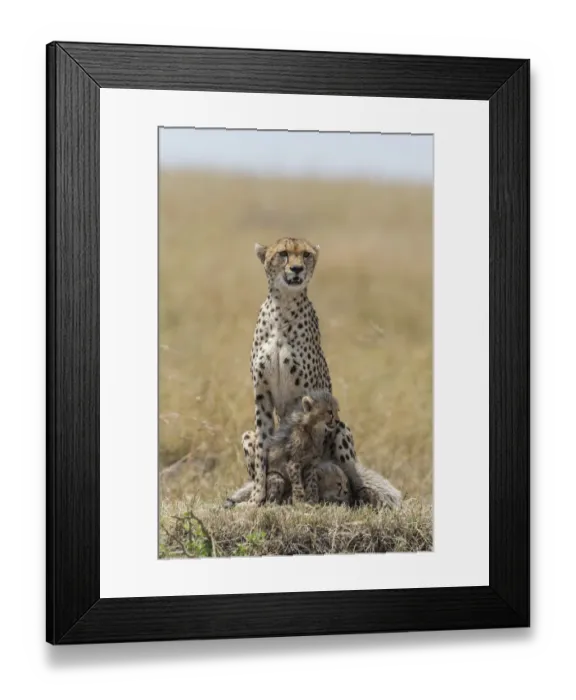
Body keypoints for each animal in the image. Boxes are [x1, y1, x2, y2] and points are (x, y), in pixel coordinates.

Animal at [241, 236, 401, 508]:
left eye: (306, 255)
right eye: (283, 254)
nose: (297, 269)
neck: (282, 308)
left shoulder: (307, 396)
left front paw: (305, 499)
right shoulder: (262, 395)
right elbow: (263, 450)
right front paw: (256, 498)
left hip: (342, 431)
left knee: (353, 481)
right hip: (247, 435)